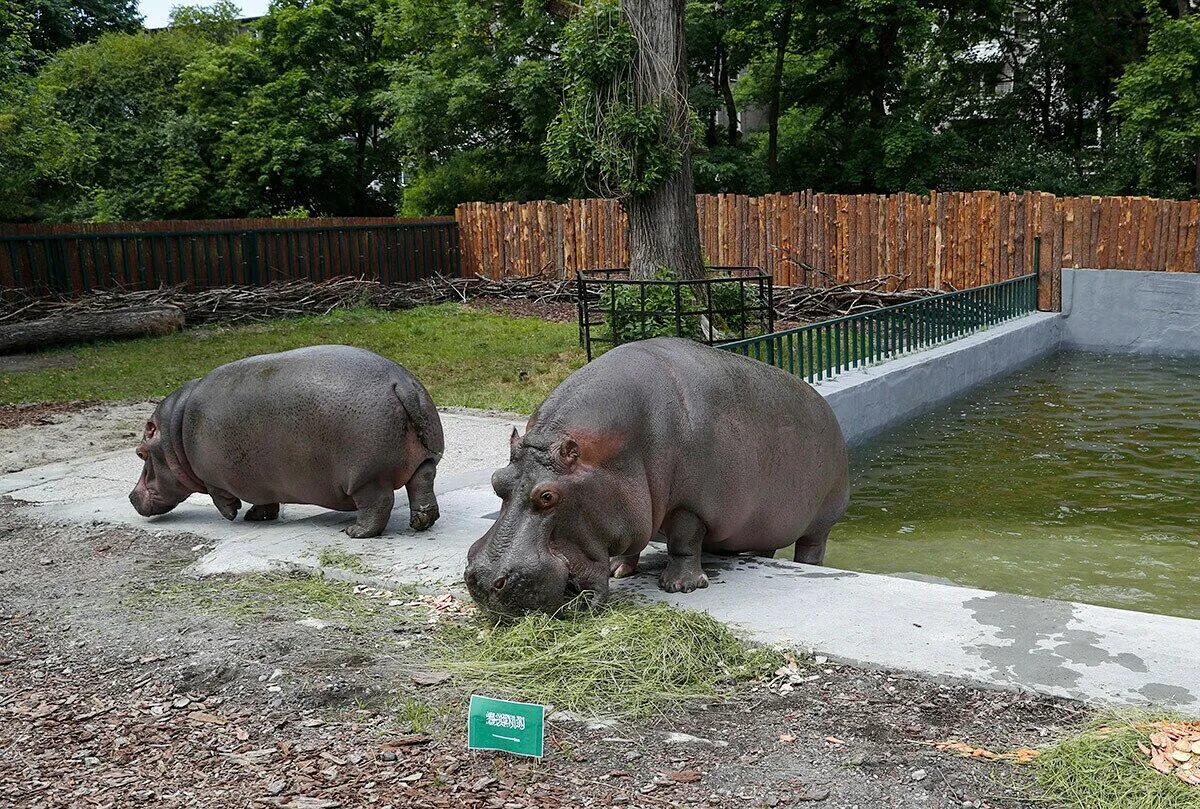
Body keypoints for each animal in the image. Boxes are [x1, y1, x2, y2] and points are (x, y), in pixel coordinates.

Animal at [127, 340, 446, 535]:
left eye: (140, 453)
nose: (131, 496)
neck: (174, 435)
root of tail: (400, 382)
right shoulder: (260, 481)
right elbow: (265, 502)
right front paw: (256, 516)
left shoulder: (214, 478)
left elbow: (221, 497)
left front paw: (232, 515)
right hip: (423, 459)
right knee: (422, 483)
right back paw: (421, 522)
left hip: (367, 477)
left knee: (379, 503)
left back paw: (356, 532)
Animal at [463, 333, 849, 612]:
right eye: (496, 481)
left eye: (547, 495)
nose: (484, 580)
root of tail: (825, 406)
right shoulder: (633, 504)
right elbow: (633, 538)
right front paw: (619, 568)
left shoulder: (690, 505)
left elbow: (683, 540)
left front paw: (679, 586)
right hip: (760, 526)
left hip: (822, 520)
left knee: (811, 547)